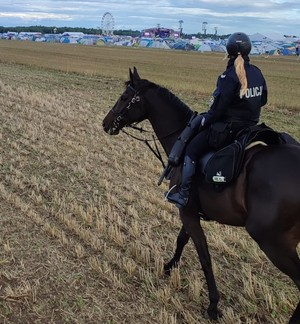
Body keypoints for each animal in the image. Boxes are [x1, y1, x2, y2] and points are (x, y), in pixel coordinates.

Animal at [102, 67, 300, 322]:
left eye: (125, 97)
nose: (106, 123)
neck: (182, 137)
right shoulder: (190, 210)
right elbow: (182, 240)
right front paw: (170, 266)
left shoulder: (187, 212)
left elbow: (204, 257)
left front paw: (213, 305)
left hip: (274, 243)